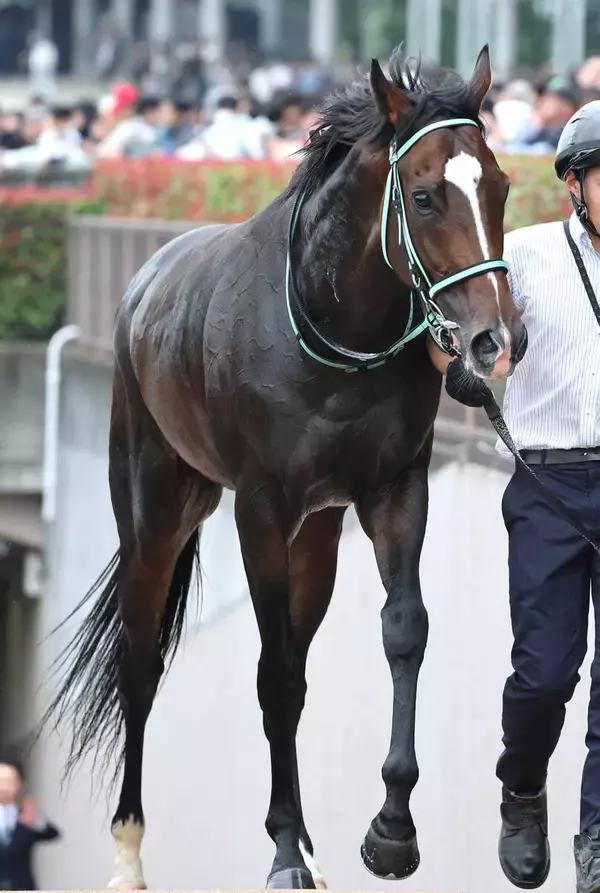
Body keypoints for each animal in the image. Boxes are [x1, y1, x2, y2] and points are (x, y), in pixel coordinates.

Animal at [44, 44, 527, 891]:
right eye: (426, 195)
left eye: (498, 186)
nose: (494, 341)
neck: (333, 330)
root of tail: (144, 287)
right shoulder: (261, 506)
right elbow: (272, 672)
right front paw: (281, 853)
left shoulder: (392, 489)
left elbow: (399, 632)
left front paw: (388, 830)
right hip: (155, 504)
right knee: (141, 660)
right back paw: (131, 849)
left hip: (317, 534)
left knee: (295, 658)